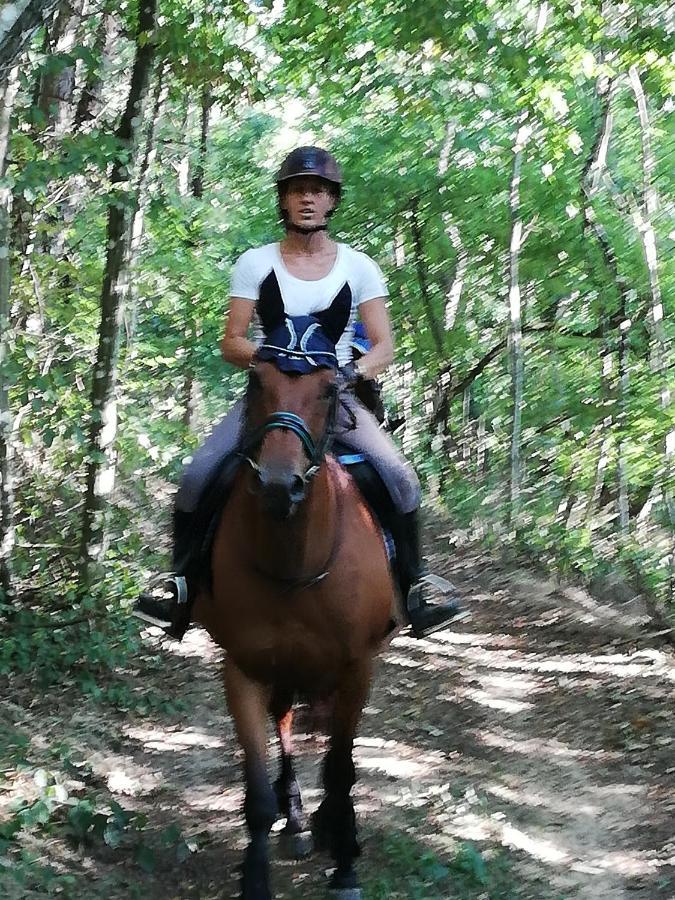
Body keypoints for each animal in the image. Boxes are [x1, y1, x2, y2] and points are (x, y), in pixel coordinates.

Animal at [193, 290, 396, 900]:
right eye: (256, 379)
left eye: (330, 388)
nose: (279, 486)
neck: (294, 559)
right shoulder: (242, 668)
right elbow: (257, 789)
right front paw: (257, 876)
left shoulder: (356, 666)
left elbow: (342, 767)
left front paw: (346, 865)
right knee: (285, 723)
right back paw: (300, 820)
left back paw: (327, 825)